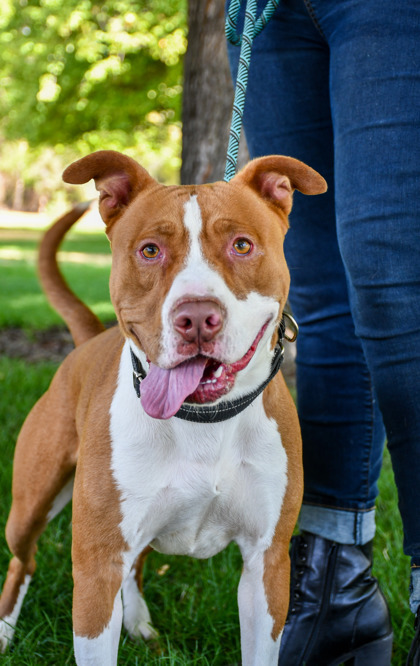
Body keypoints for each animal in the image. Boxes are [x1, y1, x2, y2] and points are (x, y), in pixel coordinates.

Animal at [0, 148, 324, 660]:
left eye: (242, 245)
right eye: (150, 250)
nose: (197, 316)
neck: (204, 420)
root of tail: (88, 341)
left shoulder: (267, 566)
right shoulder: (96, 567)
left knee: (133, 568)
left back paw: (137, 622)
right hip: (31, 503)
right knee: (22, 561)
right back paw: (4, 631)